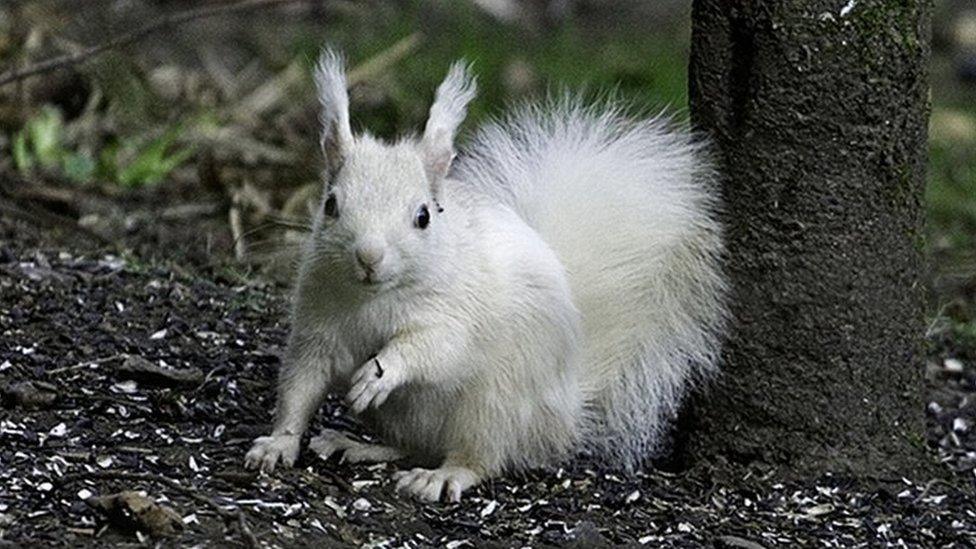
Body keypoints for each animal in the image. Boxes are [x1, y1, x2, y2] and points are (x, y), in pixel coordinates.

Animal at [248, 50, 728, 500]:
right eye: (330, 205)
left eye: (423, 216)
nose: (369, 255)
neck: (375, 298)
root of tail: (562, 413)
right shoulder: (317, 326)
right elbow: (299, 387)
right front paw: (278, 444)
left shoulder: (455, 314)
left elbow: (433, 349)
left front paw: (380, 372)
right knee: (415, 446)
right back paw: (360, 445)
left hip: (493, 406)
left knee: (477, 459)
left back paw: (439, 477)